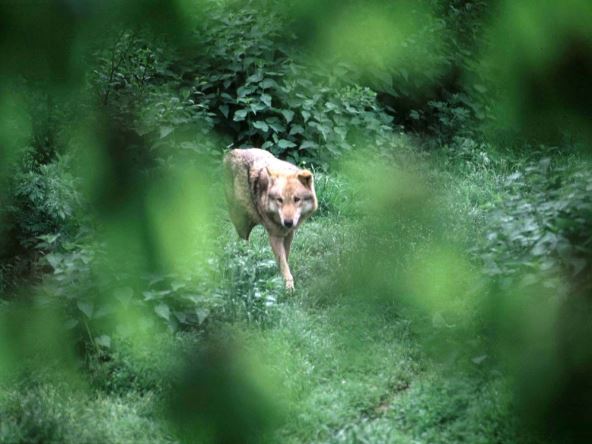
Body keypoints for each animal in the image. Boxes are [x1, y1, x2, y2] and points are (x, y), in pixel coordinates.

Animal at [223, 148, 318, 290]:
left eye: (296, 199)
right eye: (280, 200)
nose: (288, 222)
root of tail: (232, 152)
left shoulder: (289, 234)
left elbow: (285, 258)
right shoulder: (274, 236)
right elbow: (283, 262)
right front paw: (288, 286)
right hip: (242, 223)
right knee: (242, 242)